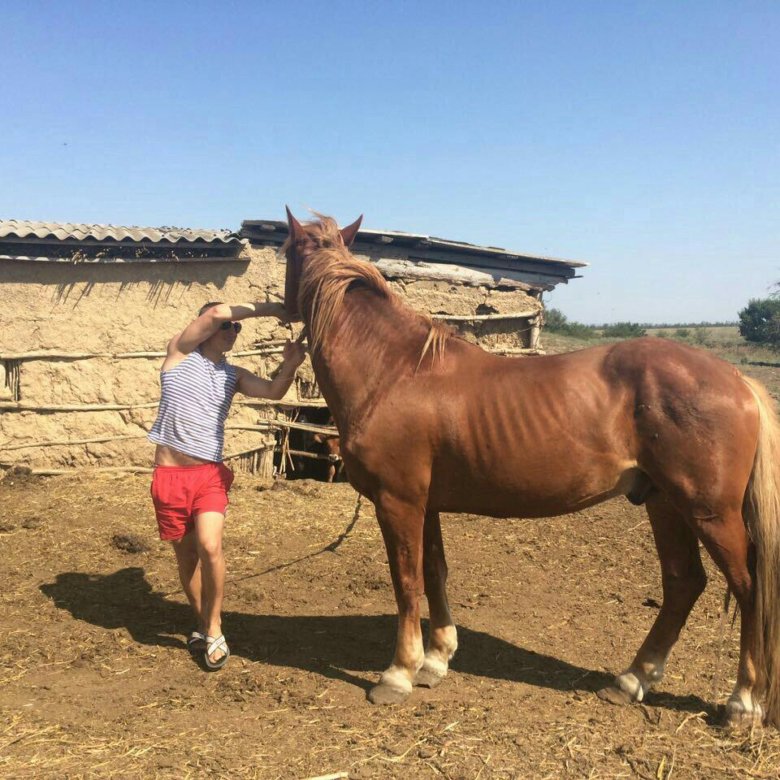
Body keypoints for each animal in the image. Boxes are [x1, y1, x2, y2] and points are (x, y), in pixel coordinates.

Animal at [282, 208, 780, 727]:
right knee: (684, 582)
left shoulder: (397, 502)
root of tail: (738, 379)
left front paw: (398, 673)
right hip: (664, 502)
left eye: (284, 251)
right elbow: (435, 573)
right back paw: (630, 681)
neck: (394, 371)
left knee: (749, 588)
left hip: (710, 512)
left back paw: (742, 702)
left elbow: (407, 581)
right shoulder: (427, 504)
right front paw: (436, 660)